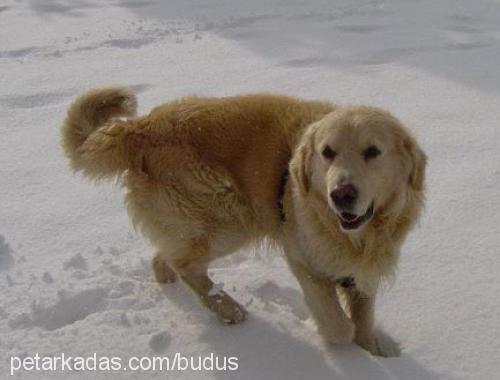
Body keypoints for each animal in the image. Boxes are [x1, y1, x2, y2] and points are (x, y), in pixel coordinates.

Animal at [59, 87, 426, 356]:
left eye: (372, 152)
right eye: (327, 152)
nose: (341, 194)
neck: (357, 236)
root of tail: (141, 127)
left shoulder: (362, 271)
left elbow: (363, 318)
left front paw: (373, 351)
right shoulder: (302, 258)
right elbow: (339, 327)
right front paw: (345, 345)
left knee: (165, 256)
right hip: (231, 216)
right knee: (186, 264)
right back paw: (230, 310)